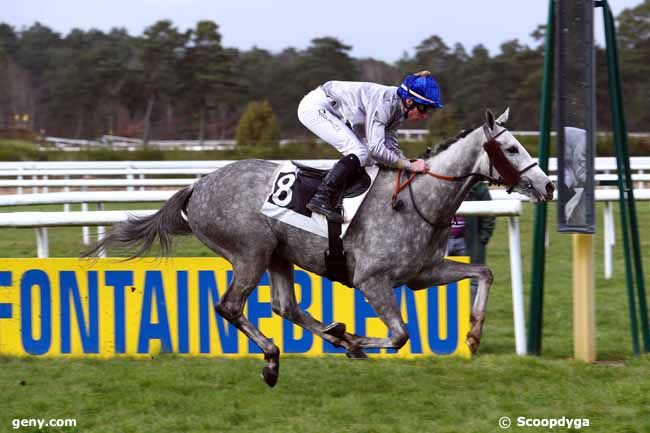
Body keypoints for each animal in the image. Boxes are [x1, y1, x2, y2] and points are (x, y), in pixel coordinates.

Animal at [85, 108, 552, 384]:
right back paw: (278, 356)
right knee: (230, 306)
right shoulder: (372, 281)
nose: (547, 185)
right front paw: (359, 340)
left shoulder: (422, 274)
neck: (416, 199)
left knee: (285, 307)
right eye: (511, 147)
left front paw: (472, 335)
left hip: (277, 255)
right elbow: (399, 335)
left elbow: (484, 271)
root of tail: (197, 186)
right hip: (250, 251)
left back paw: (331, 335)